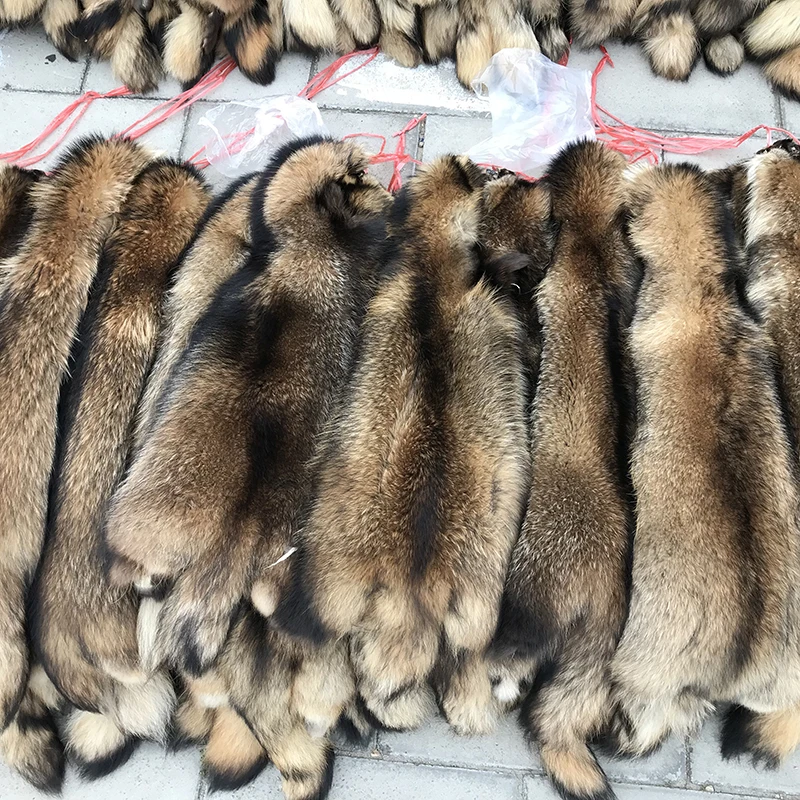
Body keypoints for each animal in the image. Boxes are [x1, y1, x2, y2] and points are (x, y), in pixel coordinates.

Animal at [277, 155, 529, 736]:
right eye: (482, 174)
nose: (504, 172)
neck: (430, 264)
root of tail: (411, 590)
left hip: (335, 581)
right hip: (479, 604)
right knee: (467, 659)